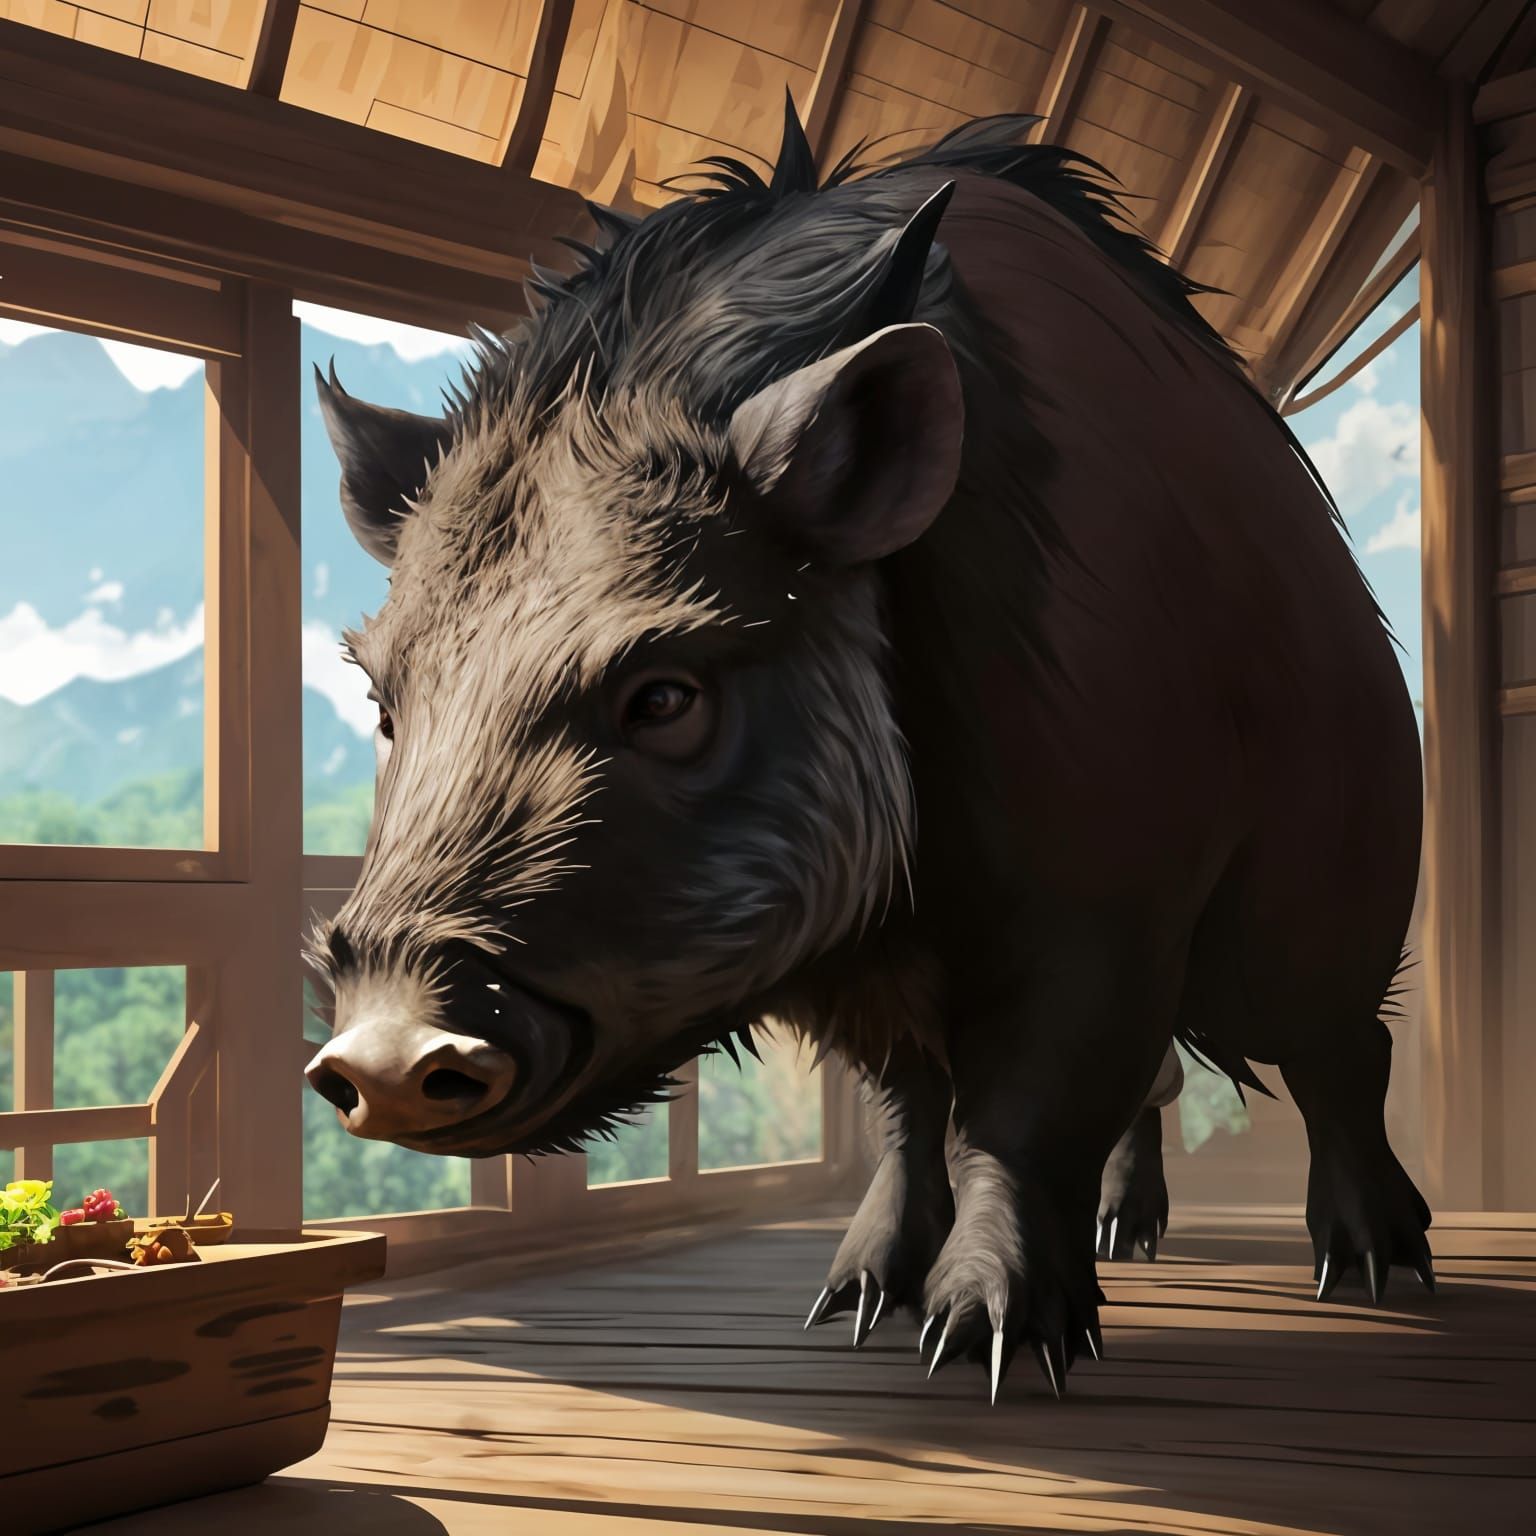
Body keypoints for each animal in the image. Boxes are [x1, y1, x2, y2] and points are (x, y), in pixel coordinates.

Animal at [305, 102, 1431, 1402]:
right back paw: (1128, 1238)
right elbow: (906, 1108)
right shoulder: (870, 969)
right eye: (385, 702)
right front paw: (851, 1304)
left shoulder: (1107, 904)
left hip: (1319, 903)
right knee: (1168, 1083)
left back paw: (1375, 1269)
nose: (385, 1048)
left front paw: (986, 1345)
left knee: (1343, 1050)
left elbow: (1025, 1106)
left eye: (665, 695)